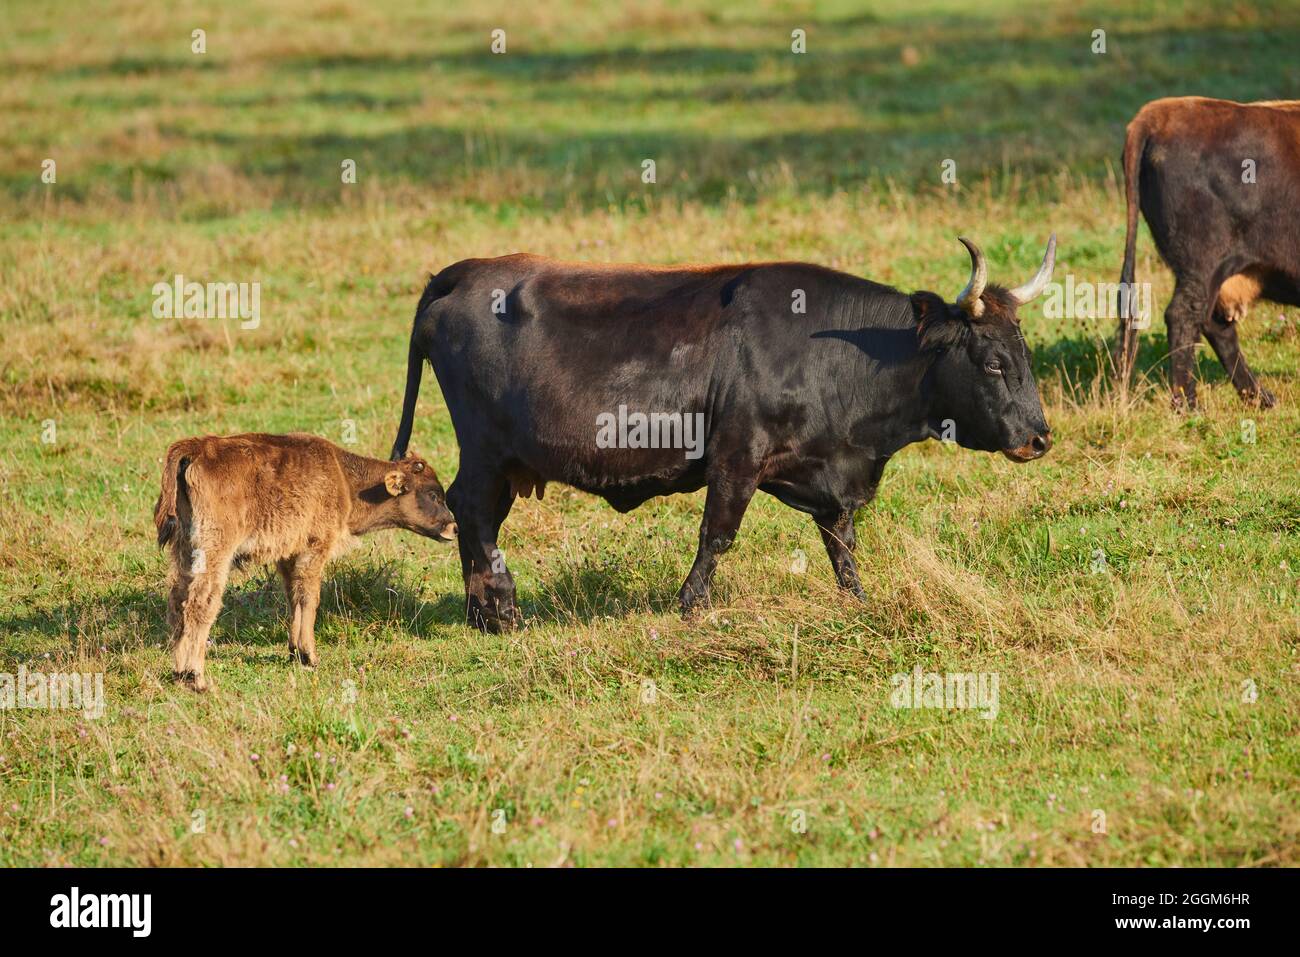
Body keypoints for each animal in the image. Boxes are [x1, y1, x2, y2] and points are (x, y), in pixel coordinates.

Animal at [154, 431, 457, 686]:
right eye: (433, 494)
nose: (453, 527)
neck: (345, 479)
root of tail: (197, 448)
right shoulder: (315, 548)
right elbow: (310, 598)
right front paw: (310, 656)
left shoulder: (290, 555)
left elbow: (294, 598)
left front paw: (295, 652)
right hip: (215, 550)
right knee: (201, 603)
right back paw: (196, 677)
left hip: (184, 549)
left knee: (177, 601)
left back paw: (179, 673)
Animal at [392, 235, 1055, 631]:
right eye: (993, 363)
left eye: (1025, 354)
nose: (1039, 439)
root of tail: (464, 271)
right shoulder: (738, 457)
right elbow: (717, 536)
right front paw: (691, 607)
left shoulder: (829, 475)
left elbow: (841, 546)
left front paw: (859, 604)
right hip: (485, 449)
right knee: (472, 510)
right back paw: (499, 609)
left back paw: (483, 610)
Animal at [1112, 97, 1300, 408]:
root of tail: (1157, 113)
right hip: (1204, 266)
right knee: (1184, 316)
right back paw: (1189, 405)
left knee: (1214, 325)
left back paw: (1260, 398)